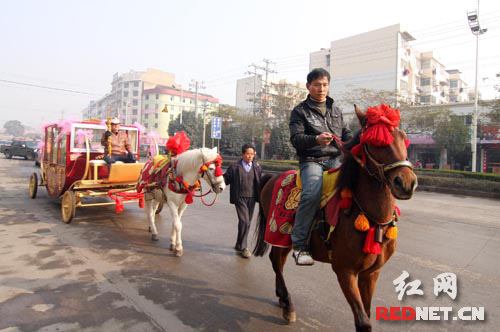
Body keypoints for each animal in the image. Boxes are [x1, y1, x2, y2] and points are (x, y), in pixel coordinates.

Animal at [254, 106, 418, 332]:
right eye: (376, 142)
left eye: (403, 137)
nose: (406, 183)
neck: (371, 217)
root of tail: (272, 177)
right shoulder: (344, 271)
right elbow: (363, 322)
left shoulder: (371, 273)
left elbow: (367, 313)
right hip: (279, 234)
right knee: (276, 263)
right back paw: (288, 305)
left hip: (285, 241)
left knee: (277, 260)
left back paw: (282, 298)